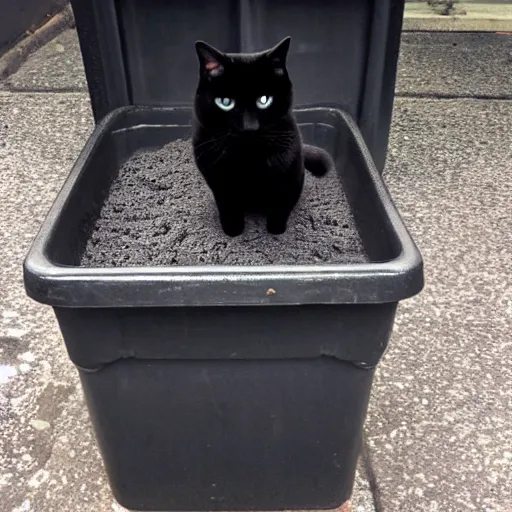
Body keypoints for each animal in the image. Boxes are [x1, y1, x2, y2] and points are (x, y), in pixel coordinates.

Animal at [192, 37, 332, 237]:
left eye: (264, 100)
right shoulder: (218, 182)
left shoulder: (290, 174)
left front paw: (276, 230)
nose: (249, 127)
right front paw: (233, 231)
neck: (249, 159)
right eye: (225, 103)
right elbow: (227, 206)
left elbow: (282, 205)